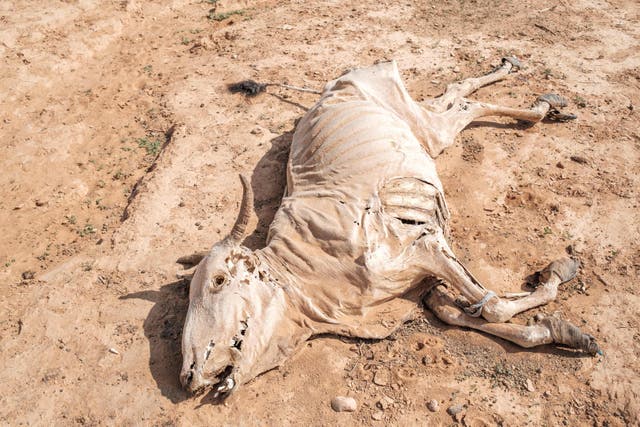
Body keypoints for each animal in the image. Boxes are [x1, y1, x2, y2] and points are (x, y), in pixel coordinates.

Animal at [179, 58, 600, 398]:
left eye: (218, 281)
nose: (188, 376)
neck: (305, 273)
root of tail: (337, 82)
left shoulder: (424, 245)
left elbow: (493, 308)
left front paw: (556, 288)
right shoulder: (421, 286)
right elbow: (462, 313)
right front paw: (555, 329)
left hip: (426, 128)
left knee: (468, 103)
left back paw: (541, 101)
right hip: (425, 126)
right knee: (456, 95)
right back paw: (530, 87)